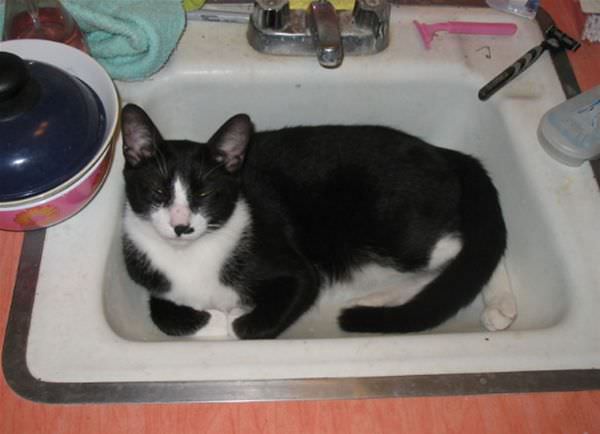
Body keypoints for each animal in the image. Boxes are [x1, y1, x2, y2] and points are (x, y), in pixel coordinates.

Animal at [120, 102, 516, 340]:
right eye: (157, 191)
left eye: (204, 194)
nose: (181, 226)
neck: (190, 255)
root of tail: (444, 153)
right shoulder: (154, 279)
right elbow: (162, 314)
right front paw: (215, 318)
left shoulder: (291, 266)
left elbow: (273, 309)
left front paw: (231, 320)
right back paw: (378, 298)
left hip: (394, 228)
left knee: (469, 246)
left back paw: (498, 303)